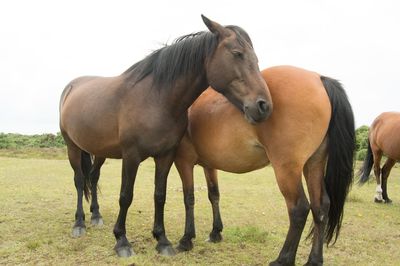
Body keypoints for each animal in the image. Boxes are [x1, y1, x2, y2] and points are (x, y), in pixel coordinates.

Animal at [58, 15, 272, 258]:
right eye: (237, 53)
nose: (264, 106)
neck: (155, 99)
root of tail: (71, 87)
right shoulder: (131, 156)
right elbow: (126, 196)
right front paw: (122, 241)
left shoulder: (166, 155)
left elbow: (160, 195)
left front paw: (162, 240)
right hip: (72, 147)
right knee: (79, 180)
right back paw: (79, 223)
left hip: (99, 151)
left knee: (93, 178)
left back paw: (96, 215)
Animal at [173, 65, 354, 264]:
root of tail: (319, 79)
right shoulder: (209, 165)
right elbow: (214, 195)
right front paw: (215, 233)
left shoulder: (183, 161)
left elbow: (188, 198)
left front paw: (186, 240)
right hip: (314, 164)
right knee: (320, 207)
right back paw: (314, 260)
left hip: (287, 169)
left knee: (299, 208)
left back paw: (283, 259)